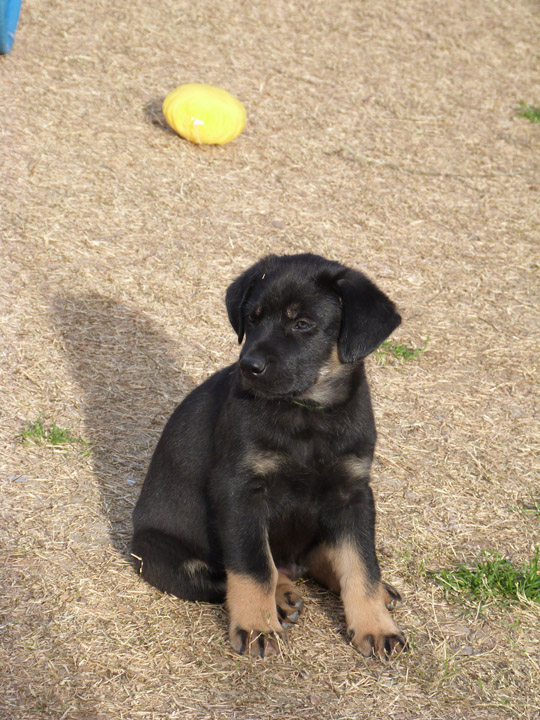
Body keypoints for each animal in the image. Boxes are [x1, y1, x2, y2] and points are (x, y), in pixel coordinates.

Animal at [133, 253, 408, 660]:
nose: (249, 367)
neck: (307, 414)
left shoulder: (354, 492)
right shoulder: (240, 490)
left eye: (303, 324)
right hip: (161, 557)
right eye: (252, 318)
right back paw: (282, 595)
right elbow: (253, 565)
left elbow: (362, 564)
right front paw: (257, 626)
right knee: (230, 574)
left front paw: (375, 626)